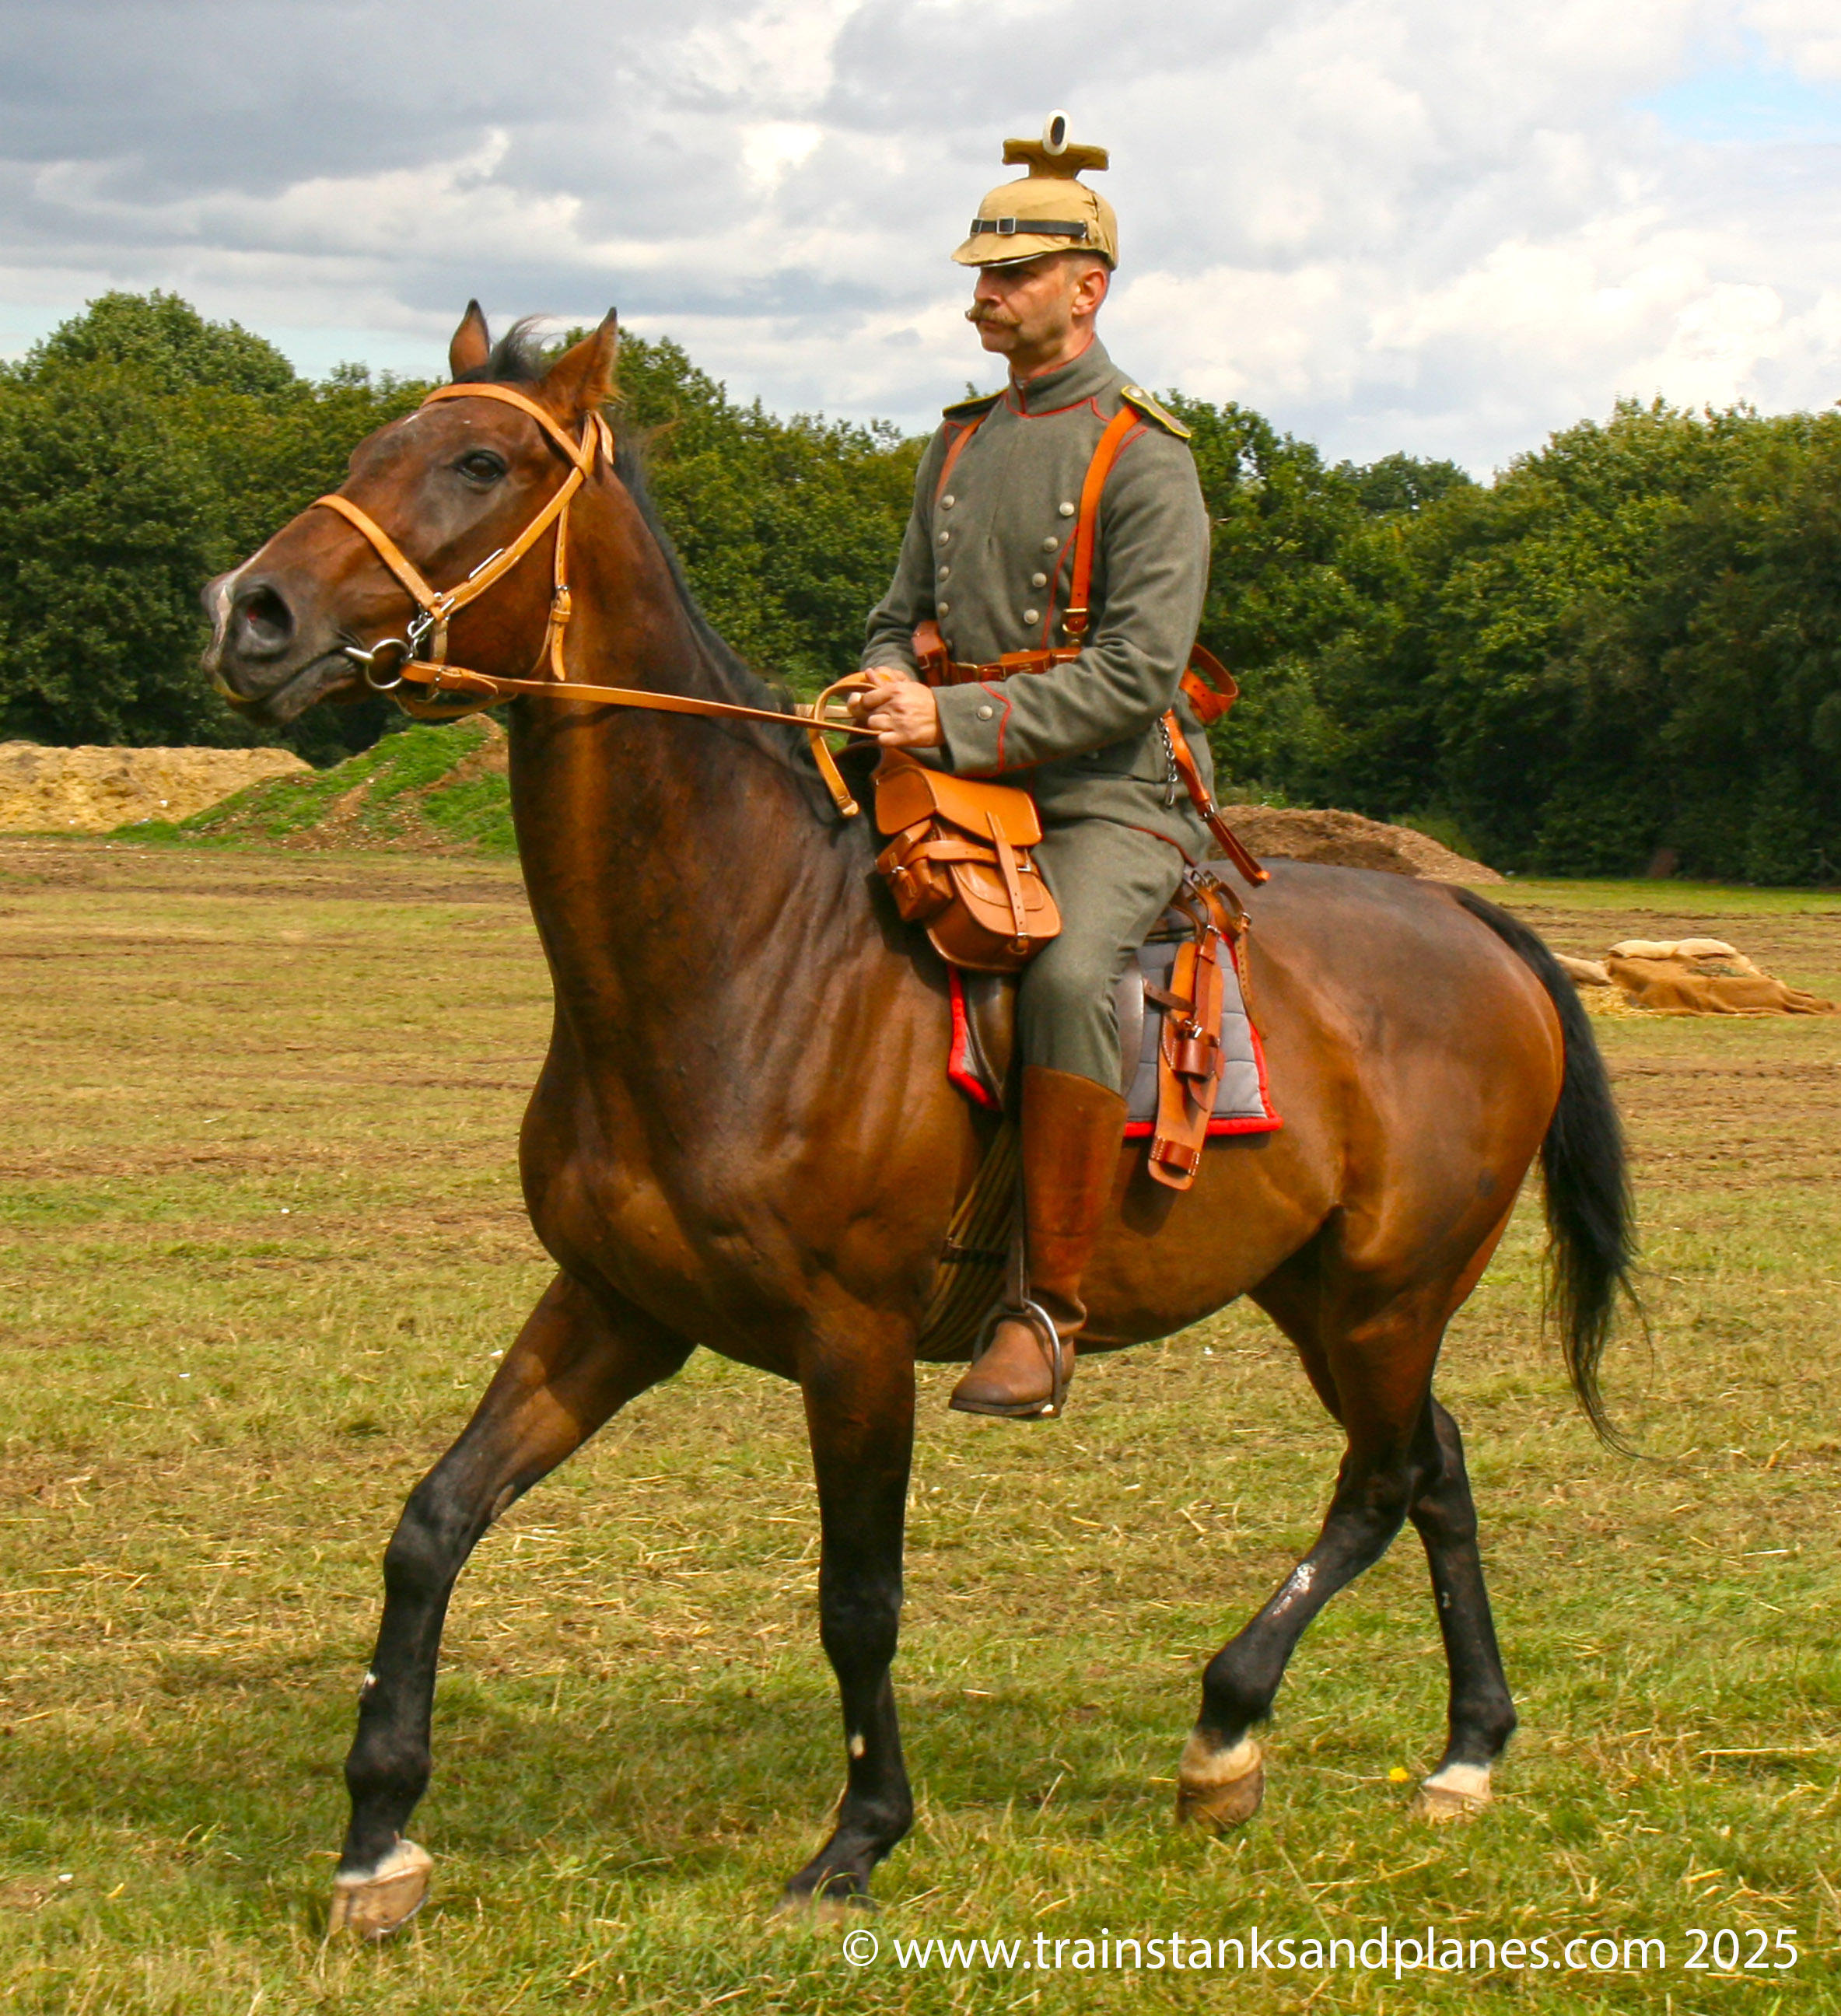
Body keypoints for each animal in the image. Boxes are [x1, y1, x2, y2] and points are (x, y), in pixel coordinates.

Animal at [201, 305, 1635, 1936]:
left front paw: (859, 1835)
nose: (248, 613)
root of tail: (1476, 929)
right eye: (372, 442)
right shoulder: (614, 1307)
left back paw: (1226, 1726)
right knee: (1434, 1468)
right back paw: (1465, 1746)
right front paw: (379, 1833)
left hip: (1390, 1292)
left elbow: (857, 1595)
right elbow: (432, 1520)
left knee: (1387, 1478)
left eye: (479, 462)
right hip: (1324, 1295)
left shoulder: (855, 1340)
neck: (745, 947)